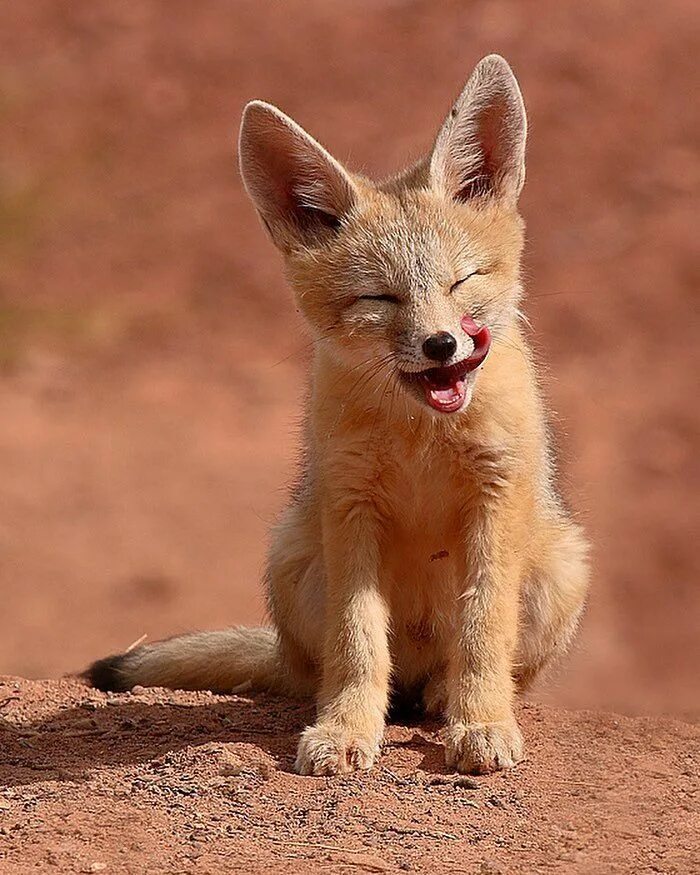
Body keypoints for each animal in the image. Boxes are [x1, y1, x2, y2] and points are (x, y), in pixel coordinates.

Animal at [87, 55, 590, 776]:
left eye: (462, 281)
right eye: (379, 298)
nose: (443, 344)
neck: (421, 437)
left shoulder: (495, 498)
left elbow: (483, 630)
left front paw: (482, 722)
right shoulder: (351, 503)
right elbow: (357, 640)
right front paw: (346, 728)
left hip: (561, 569)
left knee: (468, 667)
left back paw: (446, 697)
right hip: (292, 559)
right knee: (325, 670)